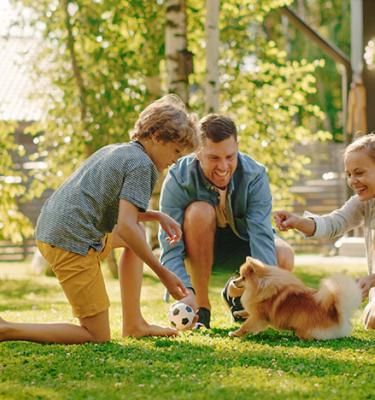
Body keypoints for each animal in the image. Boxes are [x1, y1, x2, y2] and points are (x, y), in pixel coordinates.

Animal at [228, 258, 362, 340]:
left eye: (243, 278)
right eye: (240, 276)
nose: (234, 281)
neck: (262, 286)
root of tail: (335, 314)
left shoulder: (259, 317)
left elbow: (246, 326)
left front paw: (235, 333)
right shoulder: (255, 310)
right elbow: (246, 312)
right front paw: (238, 313)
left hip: (306, 330)